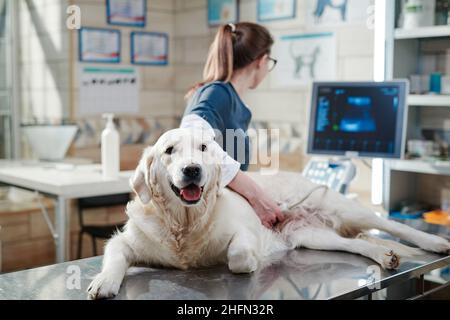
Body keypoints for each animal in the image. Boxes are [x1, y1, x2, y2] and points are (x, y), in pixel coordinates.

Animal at [87, 128, 450, 300]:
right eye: (169, 151)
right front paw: (104, 281)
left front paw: (248, 260)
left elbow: (238, 255)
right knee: (358, 243)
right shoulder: (123, 241)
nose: (192, 170)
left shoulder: (245, 230)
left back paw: (434, 243)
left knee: (387, 224)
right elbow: (115, 256)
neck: (184, 224)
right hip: (312, 236)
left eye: (203, 148)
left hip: (342, 207)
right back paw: (384, 255)